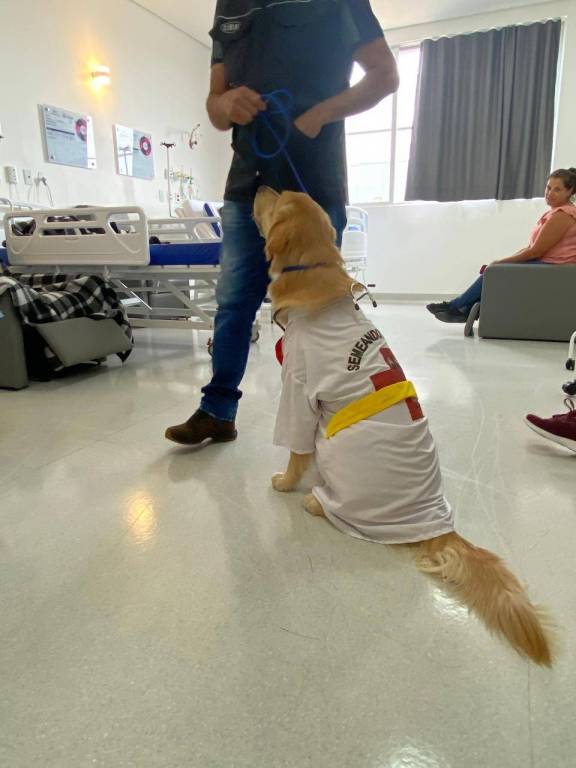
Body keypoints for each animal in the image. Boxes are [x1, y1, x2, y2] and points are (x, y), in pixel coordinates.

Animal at [254, 187, 554, 666]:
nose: (259, 183)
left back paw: (316, 501)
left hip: (339, 451)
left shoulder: (298, 391)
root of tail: (439, 528)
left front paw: (285, 481)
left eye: (278, 197)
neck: (313, 270)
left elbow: (295, 448)